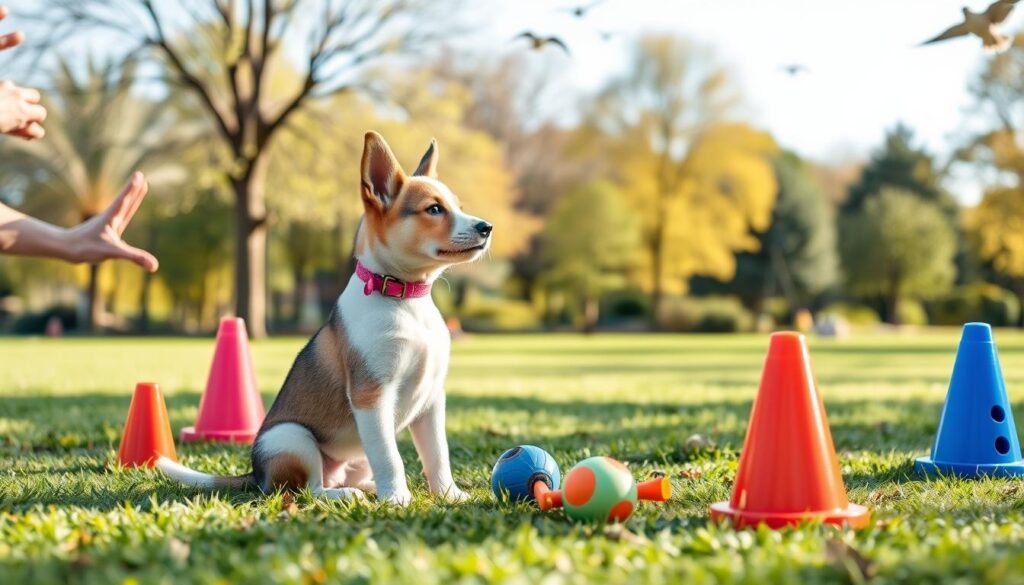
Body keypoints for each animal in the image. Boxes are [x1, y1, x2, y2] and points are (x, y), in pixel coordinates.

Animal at [157, 130, 493, 506]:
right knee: (309, 488)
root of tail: (257, 474)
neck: (404, 299)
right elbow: (390, 456)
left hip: (354, 456)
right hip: (292, 437)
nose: (486, 227)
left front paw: (449, 494)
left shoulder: (432, 399)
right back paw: (347, 493)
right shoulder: (371, 395)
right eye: (434, 209)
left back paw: (368, 488)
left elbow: (437, 454)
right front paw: (397, 498)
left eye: (458, 206)